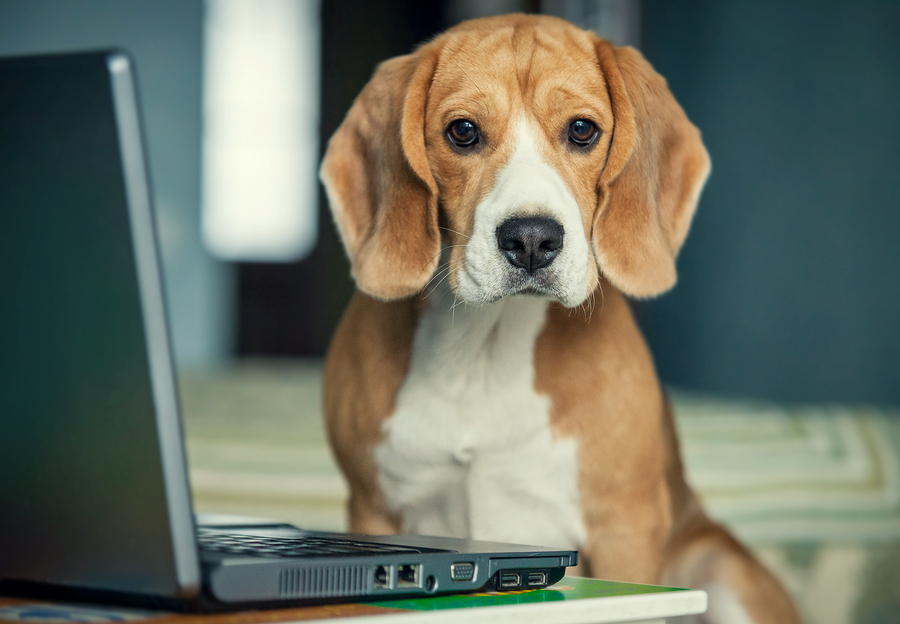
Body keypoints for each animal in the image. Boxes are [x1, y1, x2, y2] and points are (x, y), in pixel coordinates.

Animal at [320, 14, 800, 624]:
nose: (530, 238)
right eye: (463, 132)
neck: (486, 346)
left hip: (720, 568)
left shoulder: (624, 527)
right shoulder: (373, 511)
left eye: (581, 130)